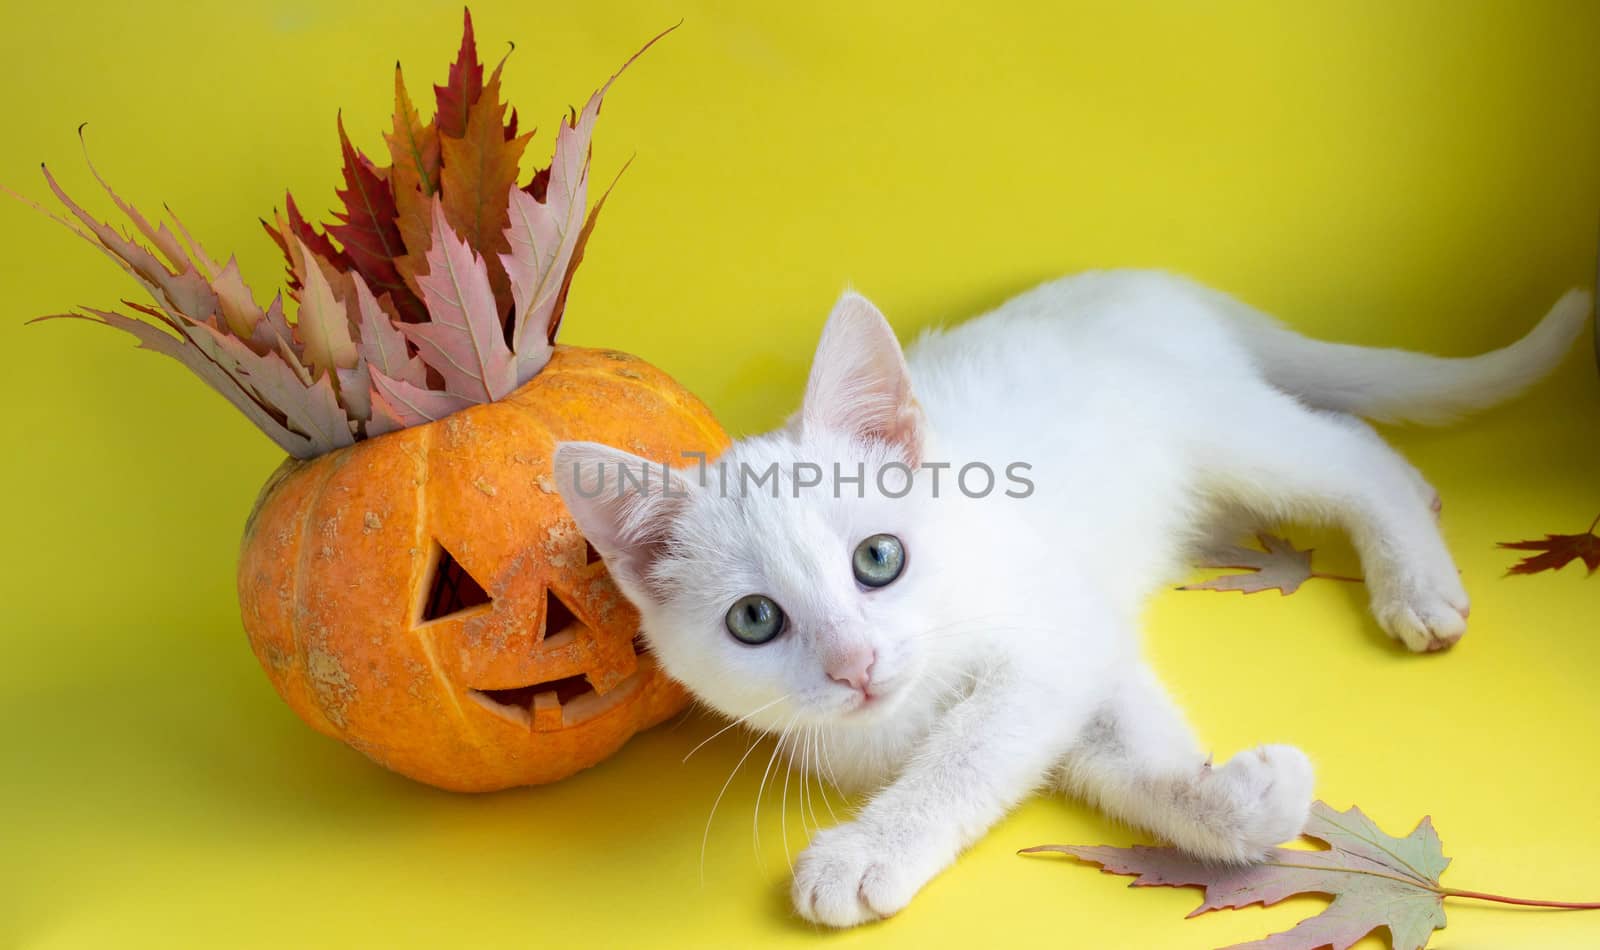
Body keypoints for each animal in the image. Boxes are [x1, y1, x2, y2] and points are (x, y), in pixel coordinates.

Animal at [553, 268, 1587, 927]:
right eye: (755, 620)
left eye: (879, 560)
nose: (855, 664)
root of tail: (1154, 283)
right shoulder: (1088, 653)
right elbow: (1123, 757)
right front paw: (1231, 800)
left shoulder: (1051, 634)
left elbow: (972, 751)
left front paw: (869, 851)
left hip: (1226, 433)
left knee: (1347, 451)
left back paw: (1416, 579)